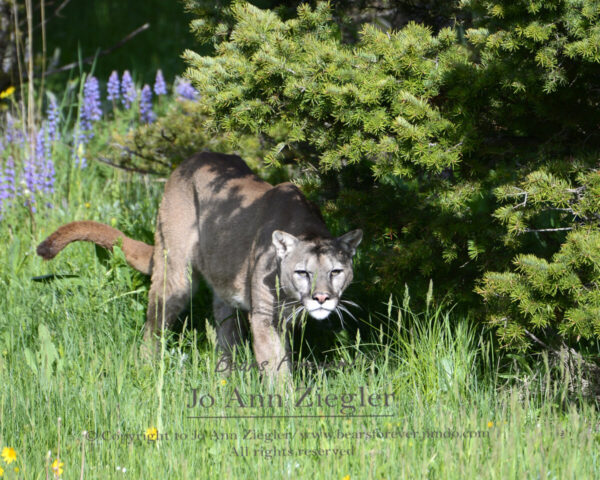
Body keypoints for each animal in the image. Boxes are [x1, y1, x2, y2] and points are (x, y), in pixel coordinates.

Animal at [38, 154, 366, 378]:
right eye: (303, 272)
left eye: (335, 272)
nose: (321, 298)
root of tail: (189, 160)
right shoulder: (264, 317)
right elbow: (275, 368)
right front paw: (283, 409)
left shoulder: (282, 320)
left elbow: (281, 359)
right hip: (175, 274)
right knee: (153, 327)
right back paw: (146, 370)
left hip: (223, 288)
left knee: (224, 332)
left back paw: (225, 378)